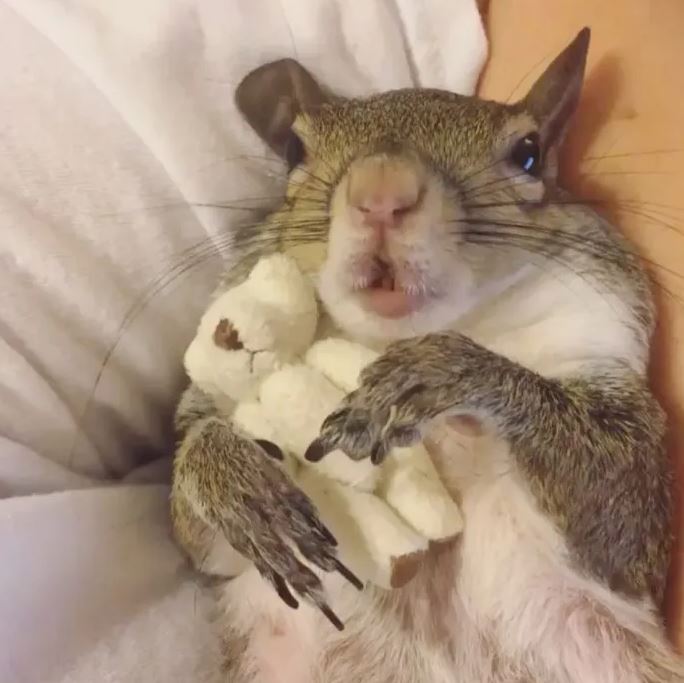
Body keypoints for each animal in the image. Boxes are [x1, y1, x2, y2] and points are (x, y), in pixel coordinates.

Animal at [168, 29, 680, 683]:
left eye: (529, 153)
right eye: (293, 150)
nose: (381, 190)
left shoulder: (607, 353)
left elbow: (625, 517)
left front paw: (441, 371)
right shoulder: (216, 546)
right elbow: (195, 529)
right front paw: (239, 489)